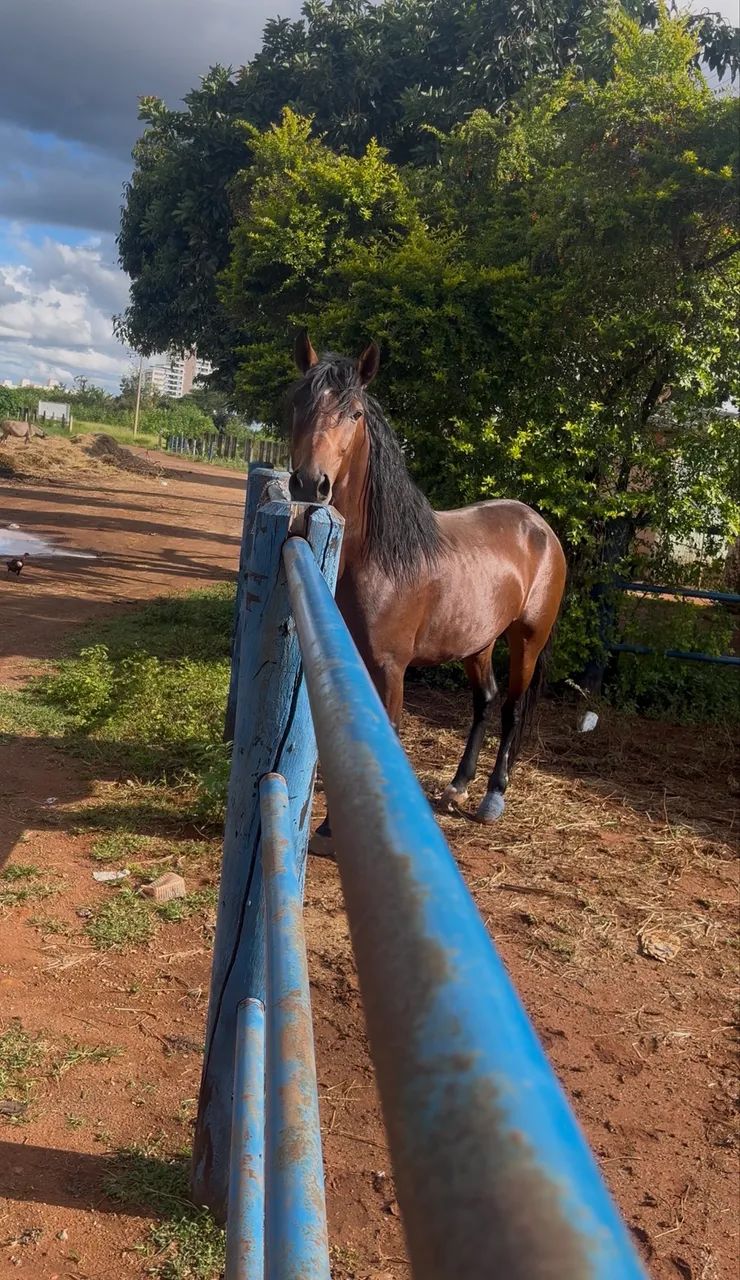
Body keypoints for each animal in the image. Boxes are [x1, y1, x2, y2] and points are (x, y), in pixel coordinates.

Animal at [288, 334, 567, 847]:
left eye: (354, 413)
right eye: (299, 402)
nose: (310, 483)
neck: (377, 558)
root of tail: (540, 527)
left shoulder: (390, 668)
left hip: (527, 640)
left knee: (512, 709)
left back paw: (492, 798)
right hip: (479, 642)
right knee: (485, 700)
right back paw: (458, 786)